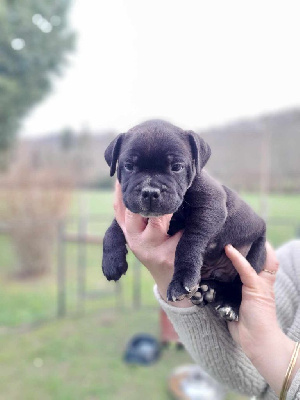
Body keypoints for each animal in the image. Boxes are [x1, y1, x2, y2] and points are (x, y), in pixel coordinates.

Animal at [102, 119, 266, 322]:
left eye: (177, 167)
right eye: (129, 166)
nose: (150, 191)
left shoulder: (210, 206)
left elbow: (189, 242)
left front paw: (181, 279)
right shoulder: (128, 209)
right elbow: (113, 228)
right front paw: (111, 260)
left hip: (256, 253)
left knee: (240, 285)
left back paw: (230, 306)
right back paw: (207, 292)